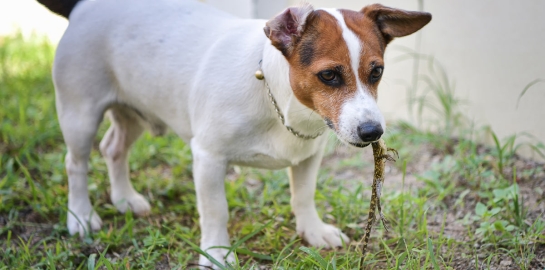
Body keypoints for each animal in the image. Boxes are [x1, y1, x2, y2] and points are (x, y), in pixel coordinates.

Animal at [37, 0, 430, 266]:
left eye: (376, 71)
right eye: (329, 75)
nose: (372, 131)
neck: (278, 99)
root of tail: (86, 6)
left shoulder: (308, 156)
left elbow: (303, 197)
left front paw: (313, 230)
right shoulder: (208, 157)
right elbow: (216, 211)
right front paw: (216, 253)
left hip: (133, 111)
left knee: (113, 148)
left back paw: (124, 199)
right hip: (79, 114)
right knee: (76, 163)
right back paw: (80, 217)